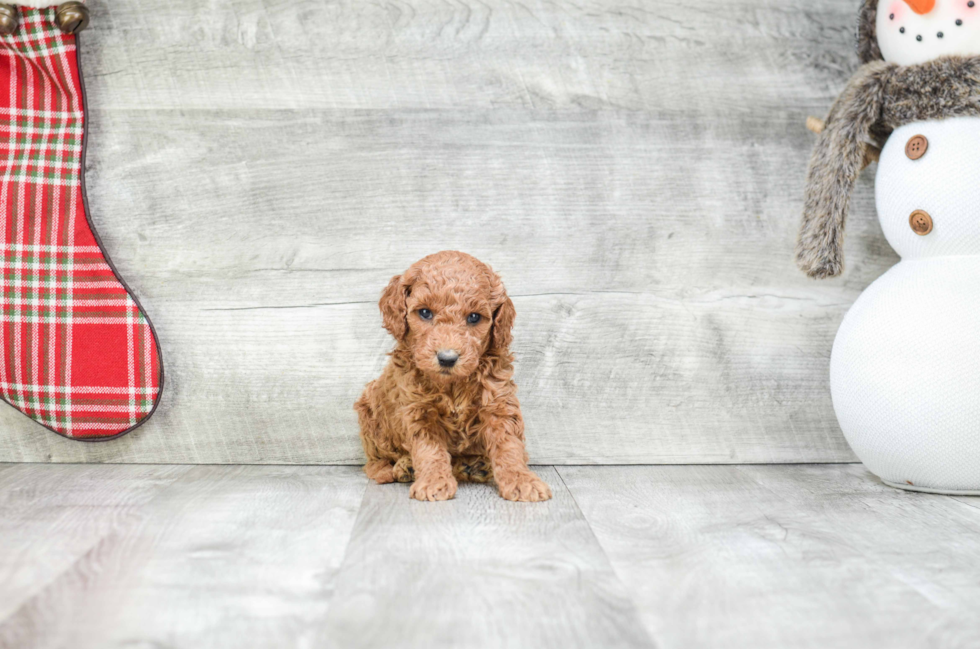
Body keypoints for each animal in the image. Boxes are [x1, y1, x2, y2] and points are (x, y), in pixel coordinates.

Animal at [354, 248, 552, 502]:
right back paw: (397, 468)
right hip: (369, 409)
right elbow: (429, 450)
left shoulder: (498, 402)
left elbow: (509, 444)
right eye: (425, 312)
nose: (447, 358)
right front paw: (433, 481)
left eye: (474, 317)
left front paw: (521, 480)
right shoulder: (418, 410)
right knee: (374, 461)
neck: (452, 384)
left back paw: (476, 466)